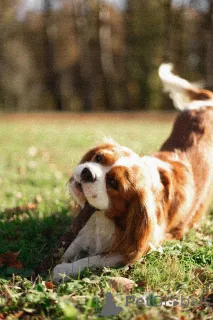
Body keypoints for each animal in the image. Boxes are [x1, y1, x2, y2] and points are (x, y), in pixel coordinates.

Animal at [52, 63, 213, 282]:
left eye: (113, 184)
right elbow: (74, 241)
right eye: (98, 158)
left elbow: (94, 259)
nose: (87, 173)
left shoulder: (135, 245)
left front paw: (63, 269)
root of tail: (207, 101)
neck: (104, 218)